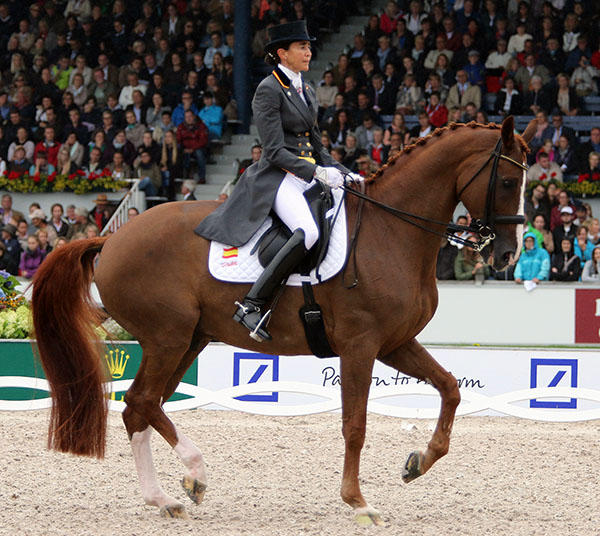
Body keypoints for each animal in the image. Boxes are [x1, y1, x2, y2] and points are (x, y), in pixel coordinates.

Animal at [31, 116, 536, 524]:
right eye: (509, 181)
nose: (507, 255)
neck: (393, 232)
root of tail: (111, 239)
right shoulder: (360, 345)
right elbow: (355, 424)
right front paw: (359, 502)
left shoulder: (395, 343)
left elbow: (450, 388)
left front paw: (417, 462)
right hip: (167, 338)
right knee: (140, 402)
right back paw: (187, 478)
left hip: (188, 340)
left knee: (142, 406)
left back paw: (174, 492)